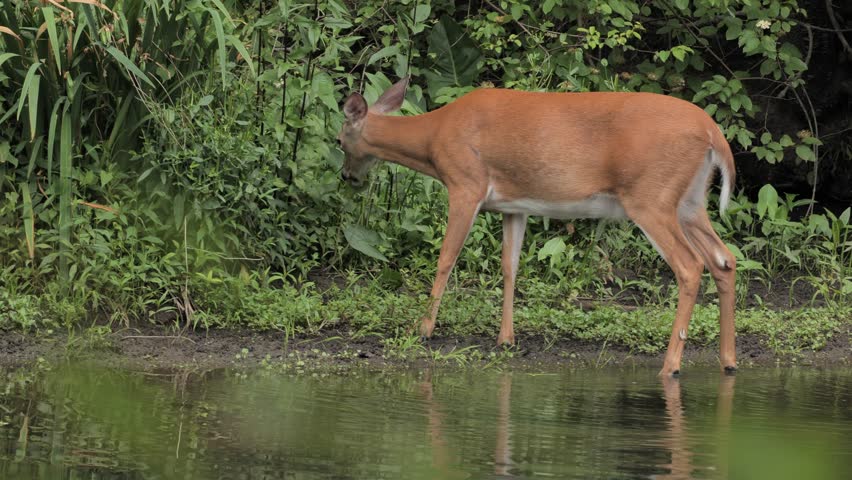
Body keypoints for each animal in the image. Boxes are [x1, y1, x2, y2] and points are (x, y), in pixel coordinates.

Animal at [336, 76, 737, 377]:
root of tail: (714, 133)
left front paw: (422, 329)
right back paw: (728, 361)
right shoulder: (514, 205)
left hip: (651, 197)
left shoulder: (465, 183)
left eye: (339, 140)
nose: (347, 176)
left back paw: (671, 366)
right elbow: (510, 266)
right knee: (724, 259)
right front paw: (506, 338)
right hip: (690, 202)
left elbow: (446, 258)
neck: (433, 139)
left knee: (690, 265)